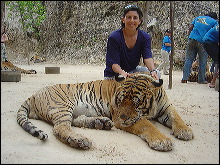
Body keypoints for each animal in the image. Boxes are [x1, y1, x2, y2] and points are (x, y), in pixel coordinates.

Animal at [16, 73, 193, 151]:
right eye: (120, 100)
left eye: (136, 103)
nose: (122, 118)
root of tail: (34, 94)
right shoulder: (123, 118)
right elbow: (147, 125)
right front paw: (162, 141)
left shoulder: (167, 107)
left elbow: (177, 117)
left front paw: (185, 131)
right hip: (62, 106)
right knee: (60, 128)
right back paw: (80, 141)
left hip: (72, 111)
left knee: (74, 121)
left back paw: (100, 123)